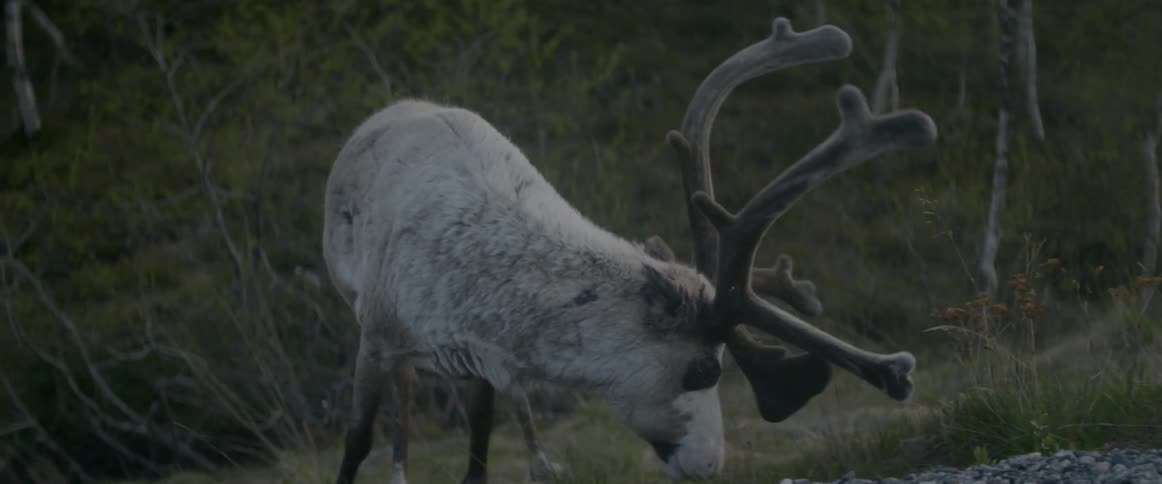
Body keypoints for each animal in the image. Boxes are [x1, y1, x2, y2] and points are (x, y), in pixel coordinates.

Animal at [322, 16, 937, 484]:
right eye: (704, 370)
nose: (709, 467)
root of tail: (393, 108)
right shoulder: (377, 338)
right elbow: (355, 444)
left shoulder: (485, 364)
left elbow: (480, 457)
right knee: (400, 397)